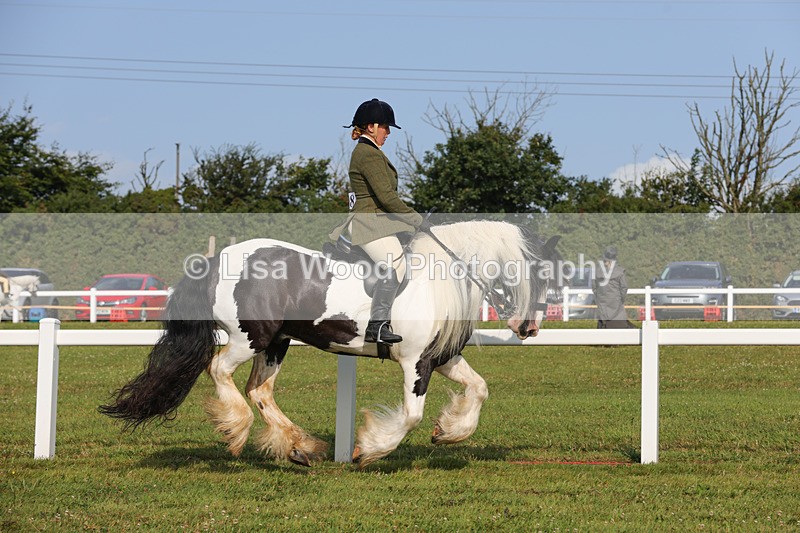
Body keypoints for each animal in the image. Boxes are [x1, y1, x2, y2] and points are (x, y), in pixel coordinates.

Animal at [100, 220, 561, 467]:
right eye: (541, 274)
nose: (530, 328)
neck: (440, 277)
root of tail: (216, 260)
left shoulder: (441, 357)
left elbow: (479, 388)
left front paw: (448, 432)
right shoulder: (415, 362)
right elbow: (411, 416)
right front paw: (368, 449)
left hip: (276, 343)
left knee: (260, 390)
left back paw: (298, 446)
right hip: (250, 337)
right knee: (220, 371)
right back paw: (237, 431)